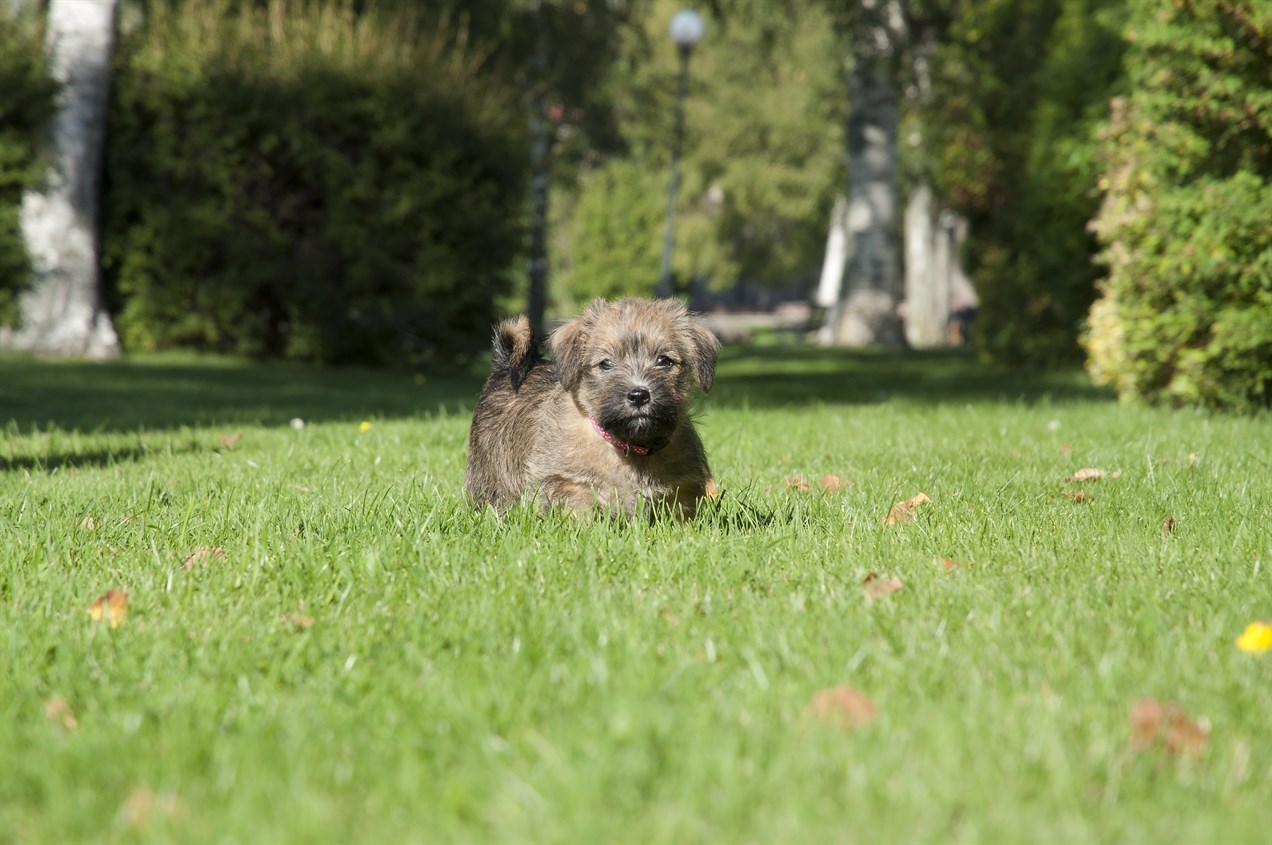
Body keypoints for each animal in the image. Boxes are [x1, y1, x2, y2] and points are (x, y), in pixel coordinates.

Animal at [468, 296, 727, 521]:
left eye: (664, 360)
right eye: (606, 364)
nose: (638, 395)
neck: (630, 448)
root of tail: (505, 366)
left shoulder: (682, 489)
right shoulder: (569, 483)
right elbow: (582, 513)